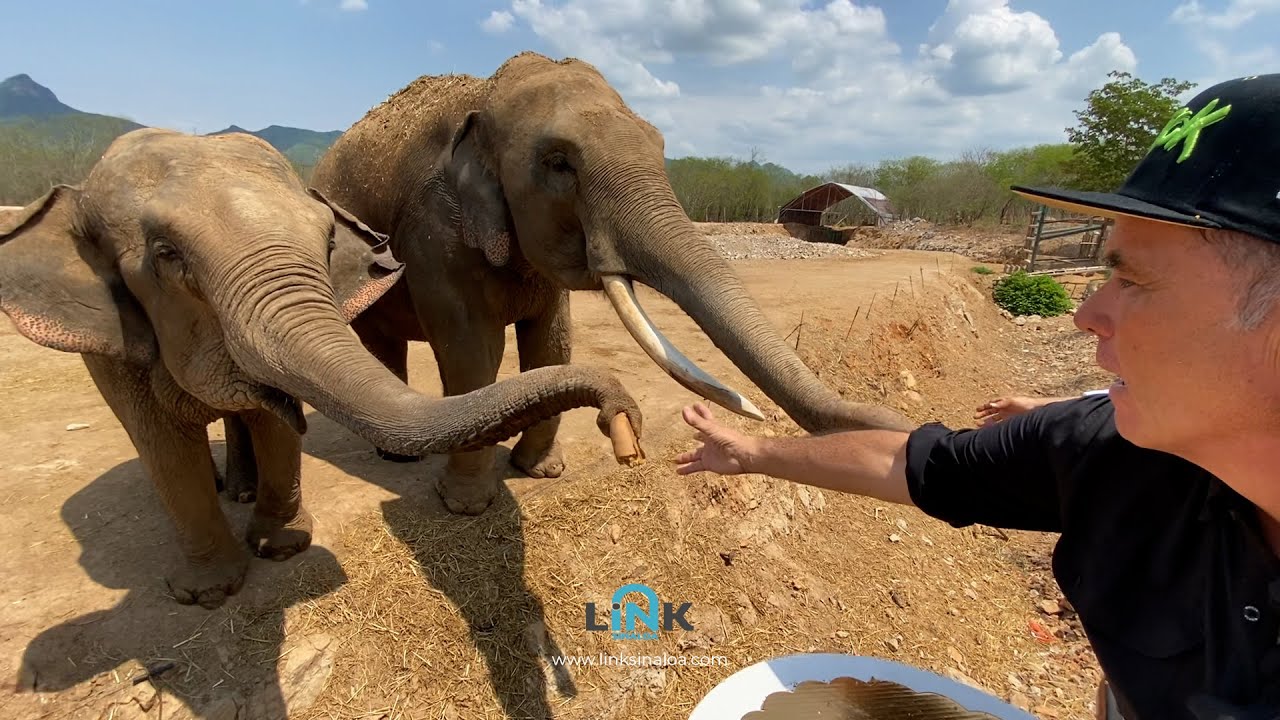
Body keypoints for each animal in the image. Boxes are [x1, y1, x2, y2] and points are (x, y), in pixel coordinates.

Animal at [0, 127, 643, 609]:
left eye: (328, 242)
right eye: (166, 255)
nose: (625, 429)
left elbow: (274, 421)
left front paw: (283, 547)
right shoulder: (114, 343)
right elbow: (161, 442)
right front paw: (207, 593)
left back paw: (241, 488)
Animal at [309, 51, 912, 514]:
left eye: (659, 144)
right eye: (558, 164)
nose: (904, 424)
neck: (487, 92)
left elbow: (552, 341)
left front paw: (542, 472)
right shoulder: (434, 231)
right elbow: (471, 351)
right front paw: (465, 506)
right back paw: (397, 458)